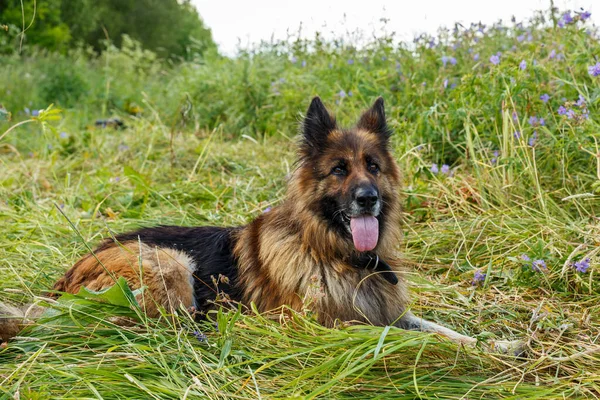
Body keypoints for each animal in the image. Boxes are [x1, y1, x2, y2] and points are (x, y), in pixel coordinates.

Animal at [1, 97, 510, 350]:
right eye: (339, 170)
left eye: (373, 166)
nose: (367, 200)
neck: (331, 251)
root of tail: (63, 279)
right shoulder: (322, 324)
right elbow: (397, 335)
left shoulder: (386, 308)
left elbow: (436, 328)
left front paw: (493, 343)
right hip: (168, 264)